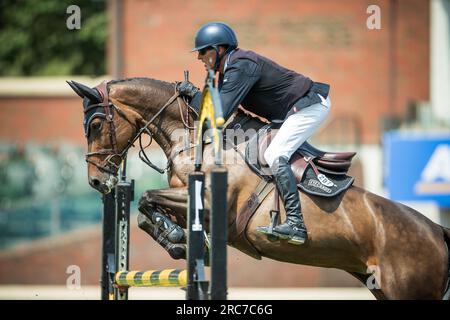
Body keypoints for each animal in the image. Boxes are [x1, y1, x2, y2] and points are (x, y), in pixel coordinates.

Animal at [67, 77, 450, 300]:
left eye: (96, 124)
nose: (97, 181)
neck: (195, 137)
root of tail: (437, 231)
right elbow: (145, 210)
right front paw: (175, 239)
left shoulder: (210, 203)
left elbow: (147, 199)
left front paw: (175, 238)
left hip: (409, 289)